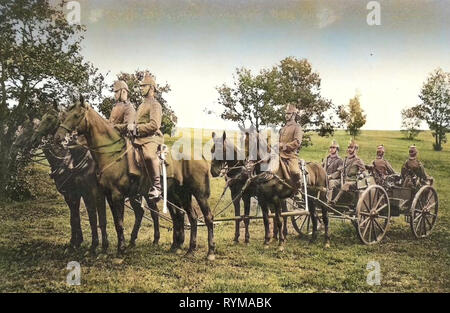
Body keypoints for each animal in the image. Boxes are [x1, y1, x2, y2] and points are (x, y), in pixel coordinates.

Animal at [12, 106, 108, 254]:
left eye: (49, 119)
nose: (15, 146)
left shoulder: (83, 193)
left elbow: (88, 216)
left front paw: (85, 243)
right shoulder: (69, 194)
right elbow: (74, 218)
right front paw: (75, 242)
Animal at [53, 97, 215, 258]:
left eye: (76, 115)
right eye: (64, 115)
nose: (58, 137)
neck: (111, 153)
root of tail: (199, 154)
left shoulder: (114, 195)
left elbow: (118, 223)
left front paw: (120, 251)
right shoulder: (107, 195)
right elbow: (112, 221)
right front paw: (108, 250)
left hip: (199, 194)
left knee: (207, 217)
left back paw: (210, 252)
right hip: (180, 194)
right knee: (190, 217)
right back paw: (187, 249)